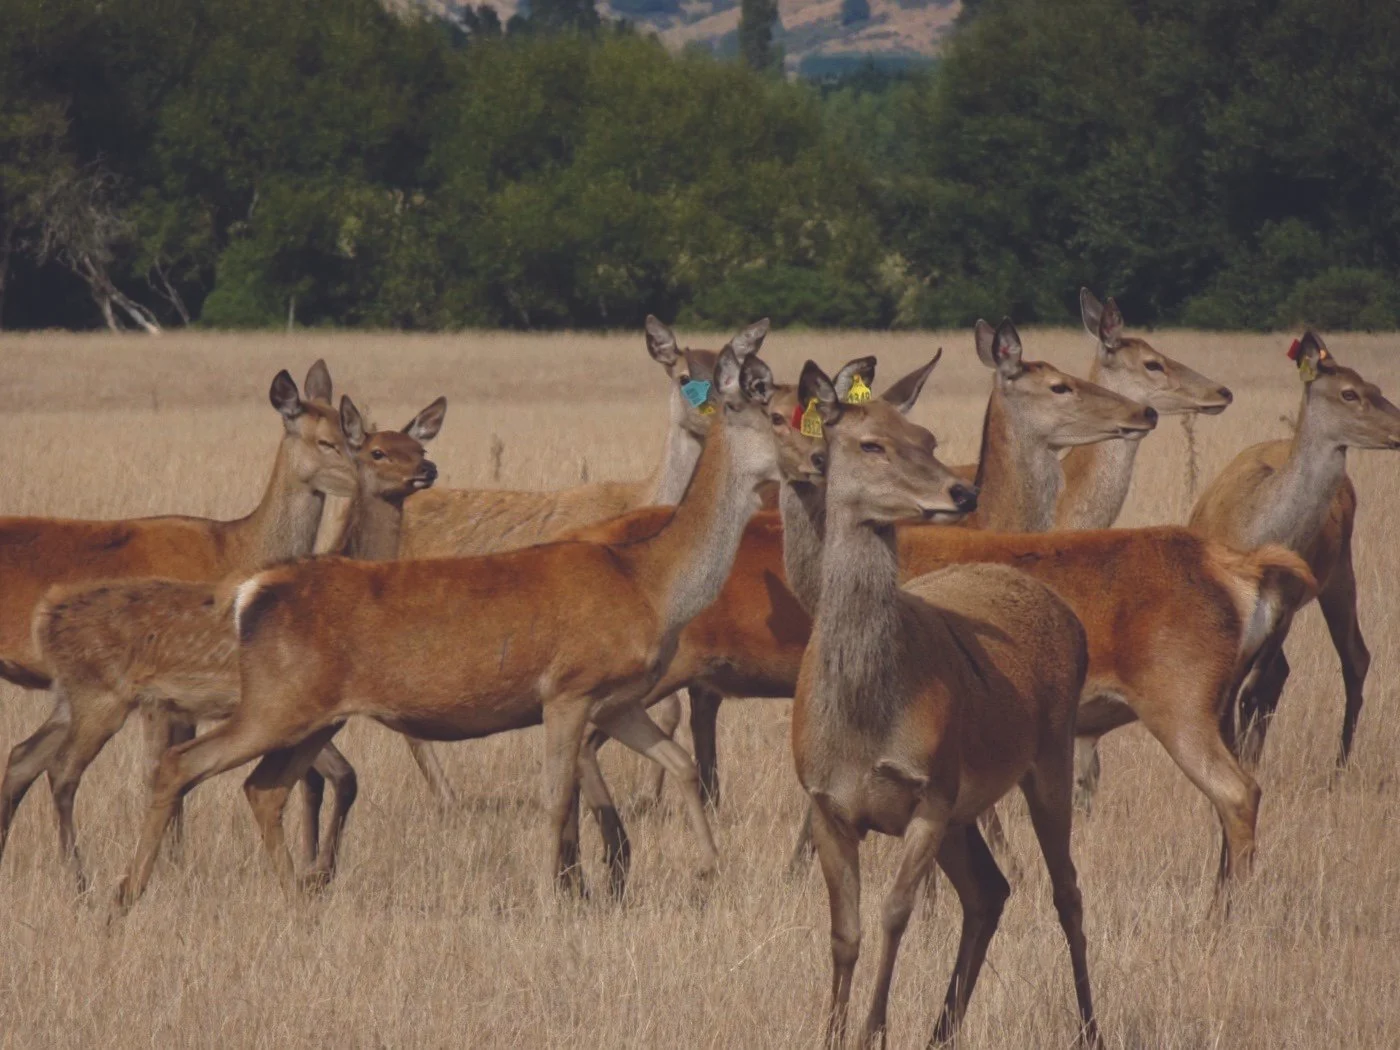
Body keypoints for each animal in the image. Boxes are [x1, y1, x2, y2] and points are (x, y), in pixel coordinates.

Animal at [0, 397, 448, 891]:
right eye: (374, 450)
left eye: (418, 446)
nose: (427, 469)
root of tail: (49, 615)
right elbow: (329, 777)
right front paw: (313, 871)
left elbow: (329, 779)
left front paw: (314, 868)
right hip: (104, 700)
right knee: (62, 771)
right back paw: (80, 880)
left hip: (73, 698)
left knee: (22, 757)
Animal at [110, 345, 783, 914]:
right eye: (773, 413)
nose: (805, 461)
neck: (648, 581)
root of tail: (252, 594)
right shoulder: (568, 689)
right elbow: (557, 795)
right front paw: (555, 896)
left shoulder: (616, 699)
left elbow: (677, 762)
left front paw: (706, 869)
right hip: (274, 704)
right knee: (181, 763)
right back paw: (127, 894)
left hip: (311, 714)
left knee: (263, 787)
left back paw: (294, 896)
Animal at [790, 359, 1101, 1049]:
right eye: (870, 444)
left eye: (927, 437)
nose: (961, 494)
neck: (864, 724)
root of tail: (1070, 617)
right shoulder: (824, 801)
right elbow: (844, 932)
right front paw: (832, 1032)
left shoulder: (930, 791)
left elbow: (894, 912)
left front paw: (872, 1031)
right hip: (968, 806)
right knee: (991, 891)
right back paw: (942, 1031)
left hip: (1049, 754)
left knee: (1066, 890)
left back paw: (1092, 1026)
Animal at [1189, 331, 1400, 769]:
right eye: (1350, 392)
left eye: (1377, 388)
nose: (1399, 429)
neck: (1255, 534)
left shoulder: (1284, 606)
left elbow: (1248, 691)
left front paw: (1238, 759)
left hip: (1339, 571)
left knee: (1353, 657)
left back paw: (1338, 766)